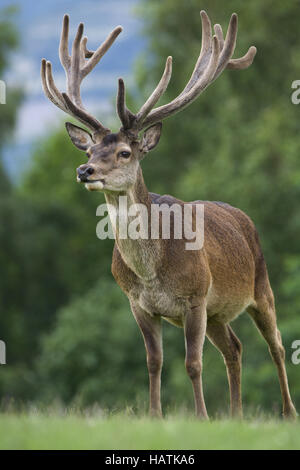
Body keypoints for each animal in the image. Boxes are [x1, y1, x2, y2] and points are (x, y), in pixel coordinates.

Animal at [41, 9, 298, 420]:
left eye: (125, 152)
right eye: (89, 151)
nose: (85, 171)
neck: (152, 272)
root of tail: (242, 217)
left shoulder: (194, 296)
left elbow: (192, 363)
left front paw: (202, 417)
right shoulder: (138, 304)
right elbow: (154, 361)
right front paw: (154, 415)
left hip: (260, 286)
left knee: (275, 343)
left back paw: (288, 413)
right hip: (218, 311)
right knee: (235, 347)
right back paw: (237, 414)